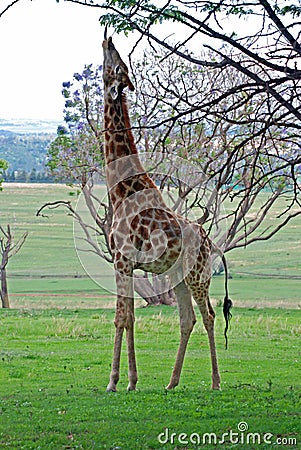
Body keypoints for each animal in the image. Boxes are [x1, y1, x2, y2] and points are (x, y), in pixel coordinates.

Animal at [102, 34, 231, 390]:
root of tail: (211, 244)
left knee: (209, 315)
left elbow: (122, 316)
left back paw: (215, 382)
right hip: (178, 276)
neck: (120, 189)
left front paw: (117, 381)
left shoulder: (122, 259)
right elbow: (129, 316)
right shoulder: (126, 262)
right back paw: (172, 382)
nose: (108, 37)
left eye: (117, 64)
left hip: (198, 275)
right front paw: (131, 380)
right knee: (187, 319)